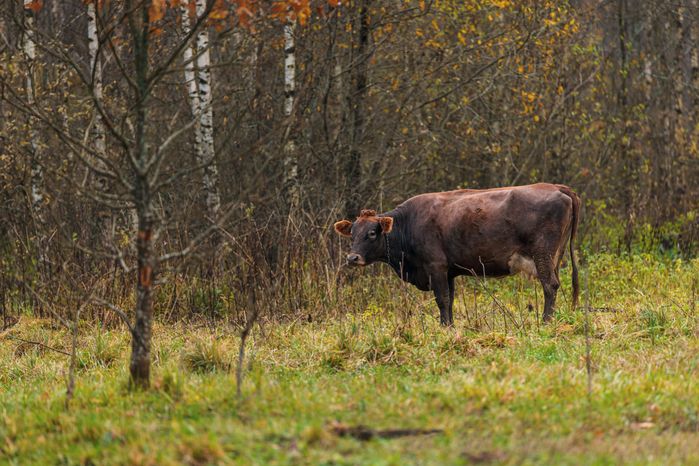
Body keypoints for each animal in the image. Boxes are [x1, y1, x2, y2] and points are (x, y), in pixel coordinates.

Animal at [334, 183, 580, 326]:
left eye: (372, 233)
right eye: (352, 233)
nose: (352, 258)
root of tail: (557, 186)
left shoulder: (435, 266)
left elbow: (442, 299)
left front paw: (444, 328)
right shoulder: (449, 271)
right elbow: (450, 300)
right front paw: (450, 327)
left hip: (542, 253)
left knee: (550, 285)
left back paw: (545, 322)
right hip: (553, 256)